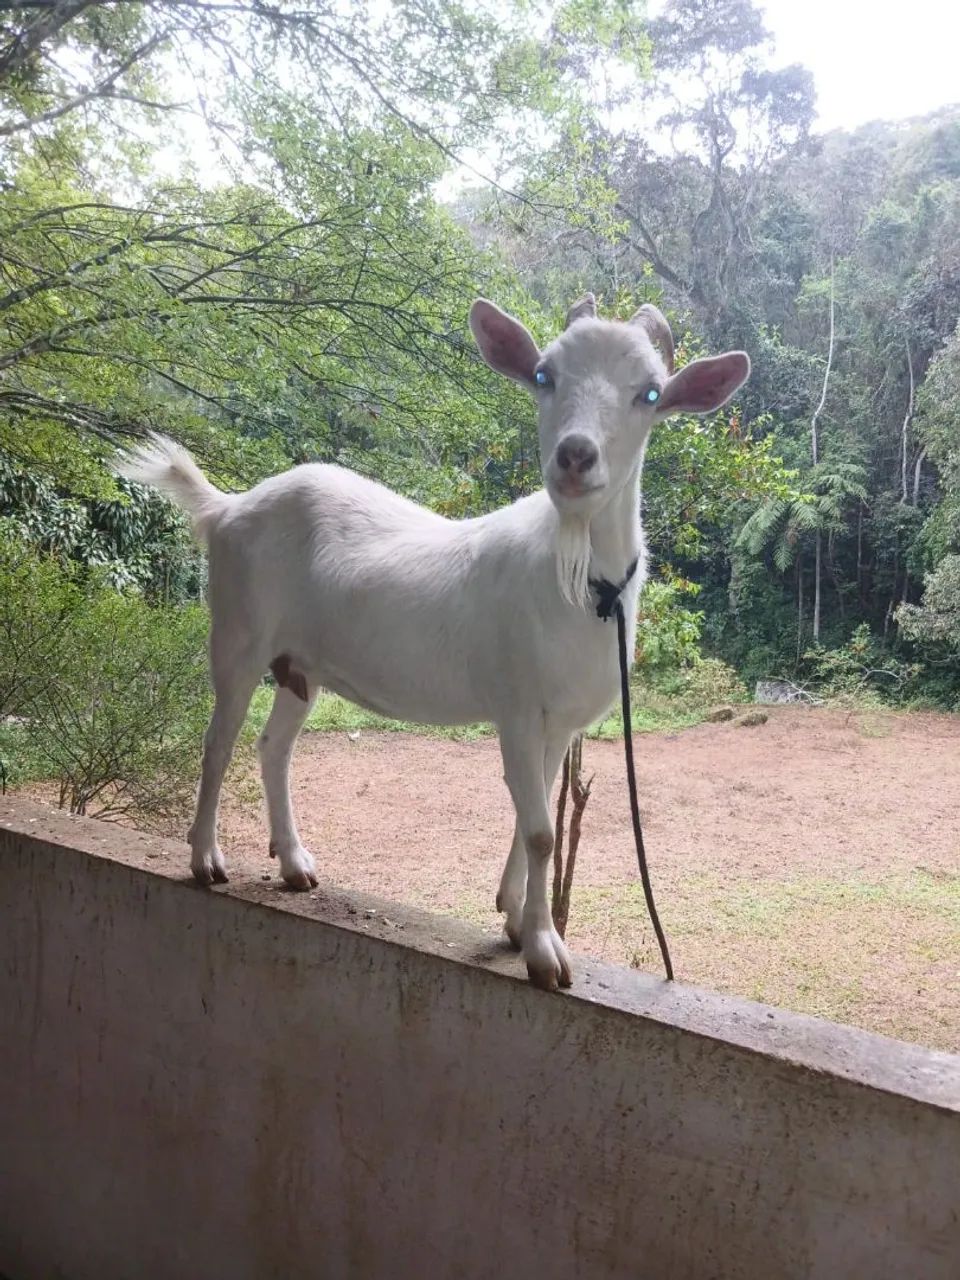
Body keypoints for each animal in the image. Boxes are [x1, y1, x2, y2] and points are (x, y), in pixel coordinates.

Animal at [118, 296, 749, 989]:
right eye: (544, 375)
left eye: (651, 392)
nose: (575, 456)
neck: (578, 576)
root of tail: (226, 508)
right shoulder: (515, 703)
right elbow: (541, 832)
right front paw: (544, 952)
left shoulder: (559, 721)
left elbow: (537, 819)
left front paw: (513, 922)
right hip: (238, 631)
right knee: (217, 742)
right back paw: (206, 859)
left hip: (301, 665)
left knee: (272, 745)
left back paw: (294, 864)